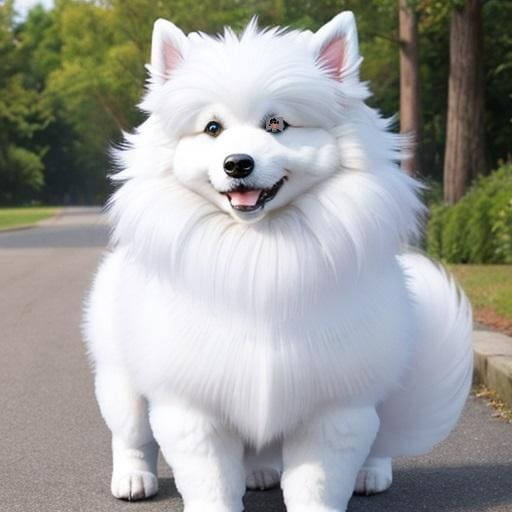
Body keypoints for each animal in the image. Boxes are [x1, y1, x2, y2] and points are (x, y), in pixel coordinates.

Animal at [83, 13, 472, 512]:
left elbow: (316, 484)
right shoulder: (192, 405)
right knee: (130, 434)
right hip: (121, 378)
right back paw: (134, 479)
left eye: (276, 124)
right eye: (213, 128)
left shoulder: (335, 406)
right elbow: (211, 481)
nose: (237, 163)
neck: (261, 249)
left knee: (377, 440)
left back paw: (349, 473)